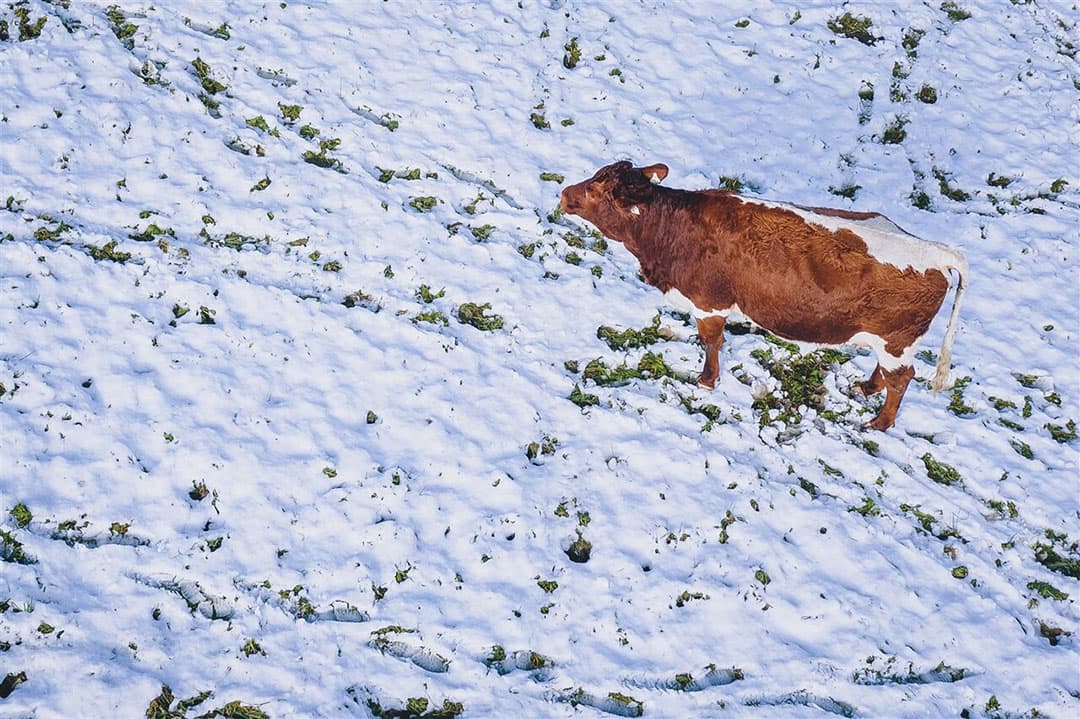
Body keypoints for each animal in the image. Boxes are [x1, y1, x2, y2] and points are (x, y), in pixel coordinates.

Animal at [560, 160, 968, 431]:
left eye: (594, 190)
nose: (564, 194)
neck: (671, 227)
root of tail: (937, 252)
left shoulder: (709, 302)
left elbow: (711, 342)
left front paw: (706, 380)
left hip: (896, 341)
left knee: (901, 379)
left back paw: (878, 423)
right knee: (886, 372)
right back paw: (866, 387)